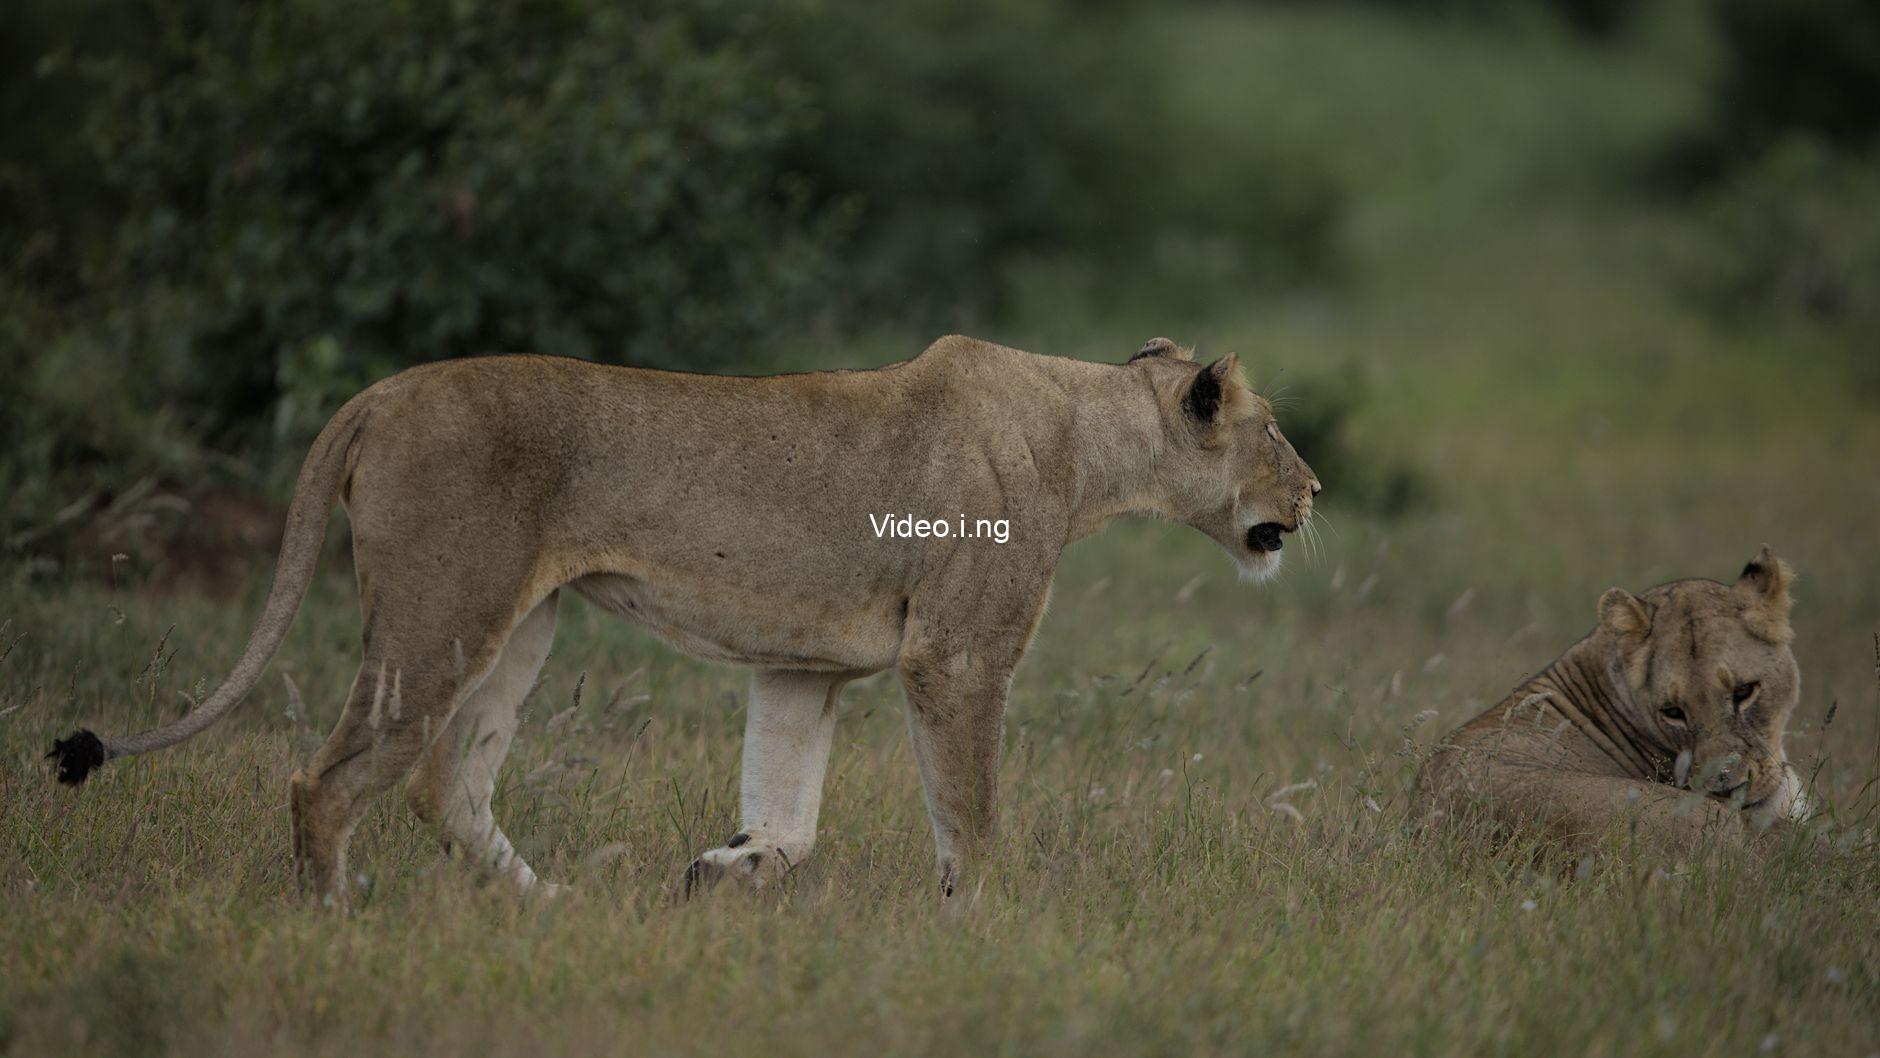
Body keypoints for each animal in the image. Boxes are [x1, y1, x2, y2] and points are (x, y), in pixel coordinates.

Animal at [48, 334, 1320, 904]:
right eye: (1271, 431)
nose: (1312, 491)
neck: (1089, 440)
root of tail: (383, 389)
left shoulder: (803, 667)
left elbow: (790, 813)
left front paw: (721, 866)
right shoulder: (955, 656)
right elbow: (973, 812)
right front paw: (986, 927)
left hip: (520, 622)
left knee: (443, 782)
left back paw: (551, 909)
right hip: (441, 613)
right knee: (329, 779)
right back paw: (336, 919)